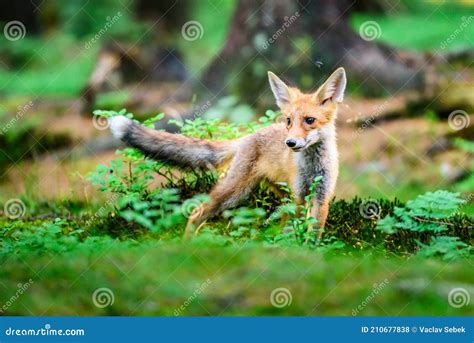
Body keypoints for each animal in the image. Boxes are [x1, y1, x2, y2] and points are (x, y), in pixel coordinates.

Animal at [109, 66, 346, 239]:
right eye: (288, 121)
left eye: (310, 120)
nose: (290, 142)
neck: (312, 167)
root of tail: (246, 137)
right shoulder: (300, 195)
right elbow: (299, 229)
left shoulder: (321, 197)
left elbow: (313, 233)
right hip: (235, 190)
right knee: (196, 212)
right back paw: (187, 244)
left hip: (278, 192)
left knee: (282, 221)